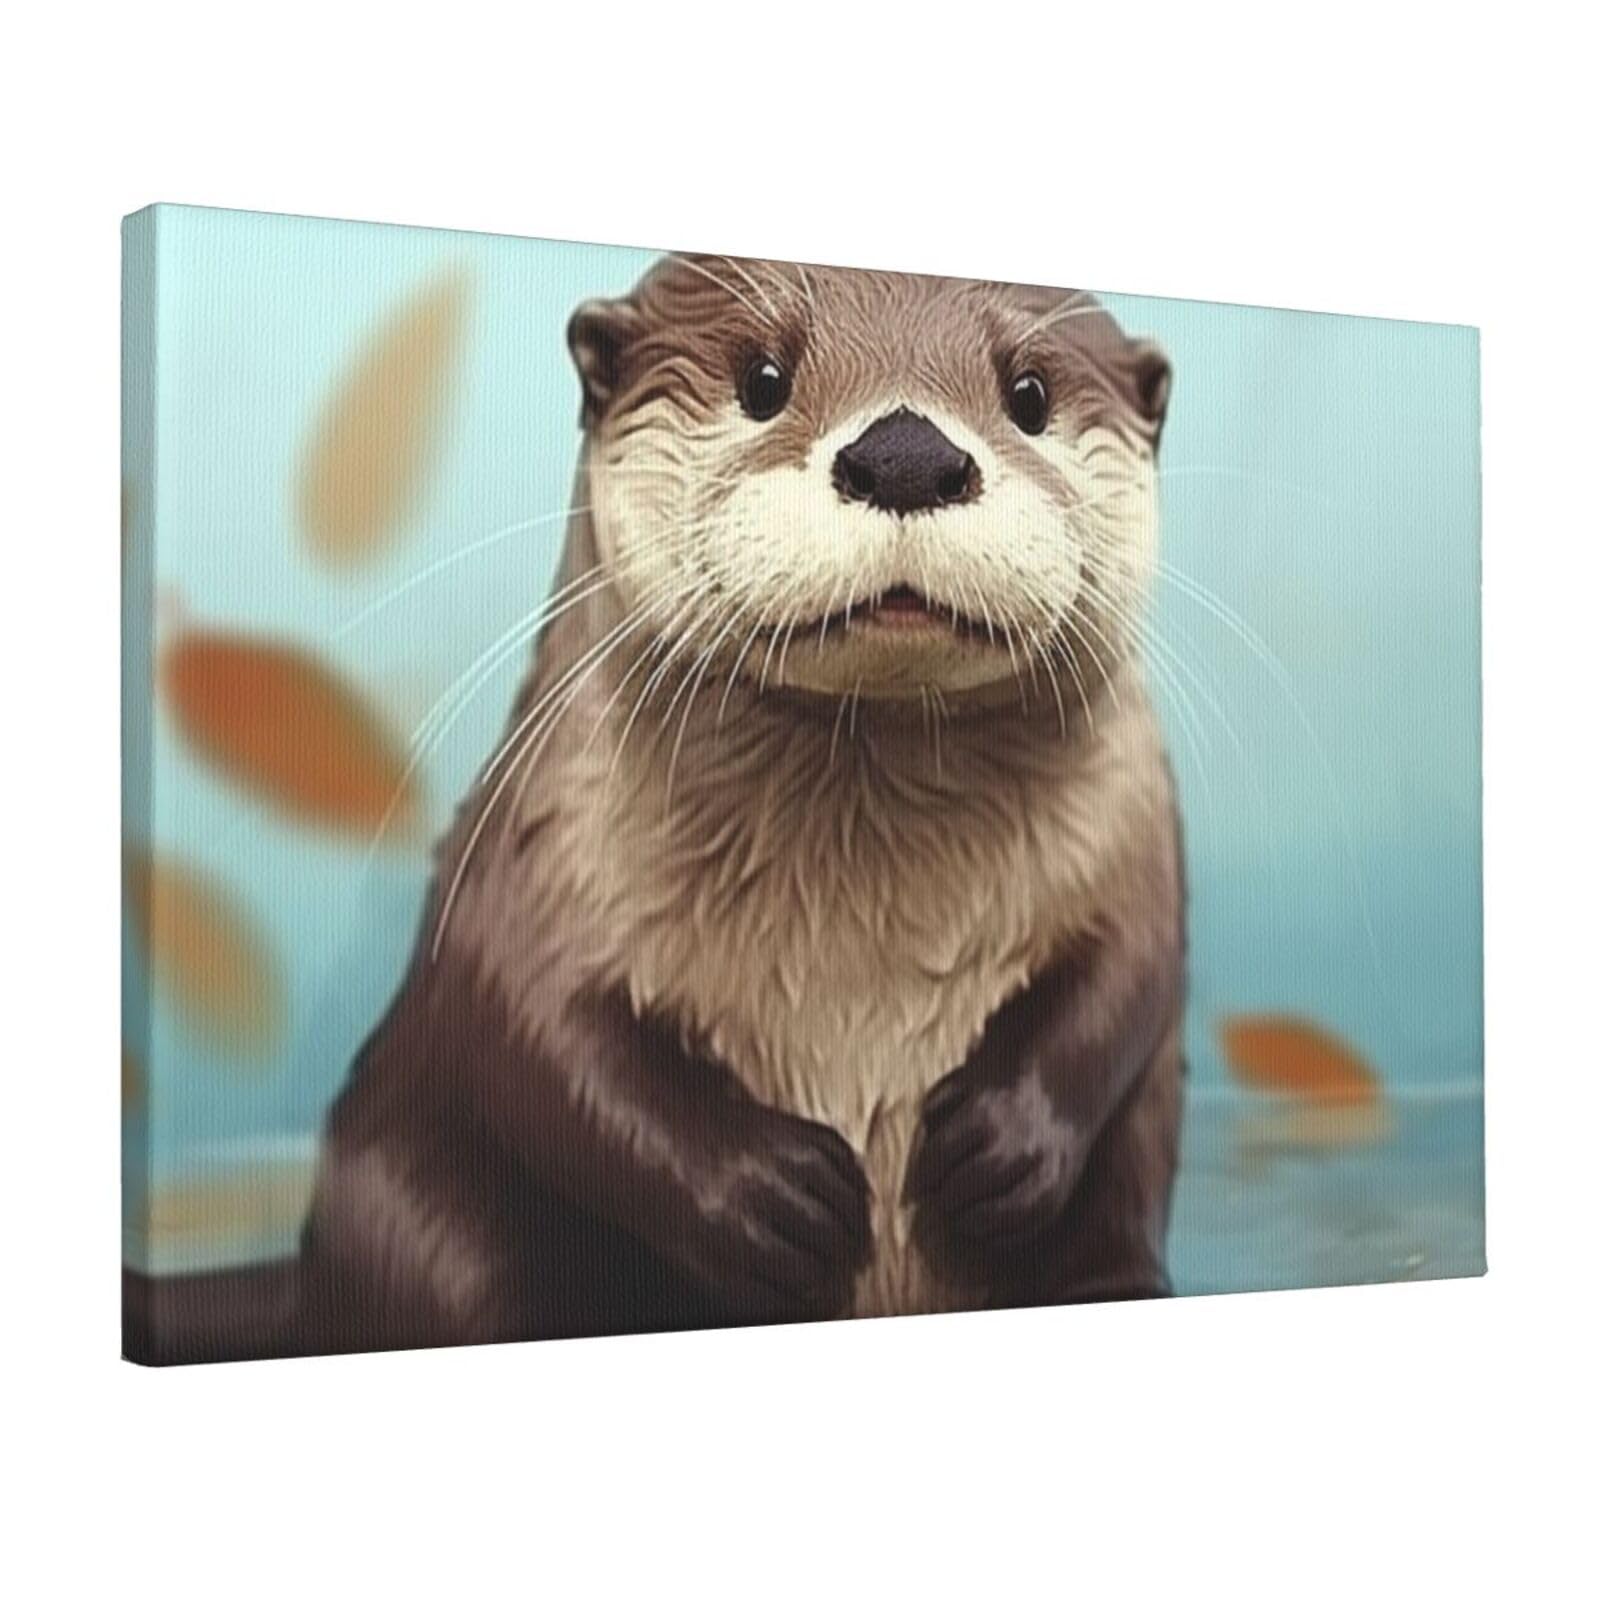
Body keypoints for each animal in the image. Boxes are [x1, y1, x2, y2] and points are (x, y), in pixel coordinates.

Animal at [130, 254, 1187, 1360]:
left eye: (1028, 394)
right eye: (762, 378)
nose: (905, 456)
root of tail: (313, 1284)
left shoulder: (1134, 830)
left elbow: (1130, 973)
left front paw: (1000, 1142)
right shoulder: (539, 844)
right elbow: (532, 1023)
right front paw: (769, 1193)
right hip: (421, 1219)